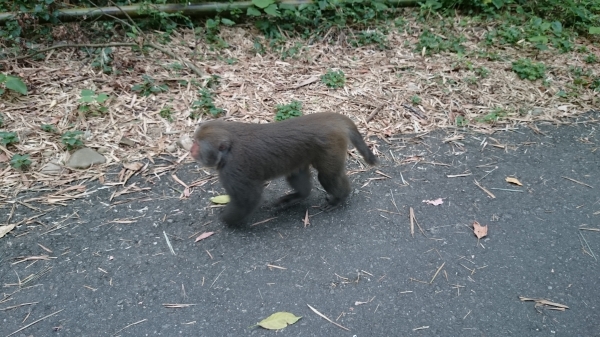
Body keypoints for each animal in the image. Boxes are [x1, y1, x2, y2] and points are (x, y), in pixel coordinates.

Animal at [190, 112, 378, 226]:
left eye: (197, 144)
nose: (191, 150)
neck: (230, 146)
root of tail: (328, 118)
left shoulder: (233, 171)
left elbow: (247, 199)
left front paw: (227, 220)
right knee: (297, 174)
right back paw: (297, 197)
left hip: (330, 147)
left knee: (328, 176)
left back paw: (340, 198)